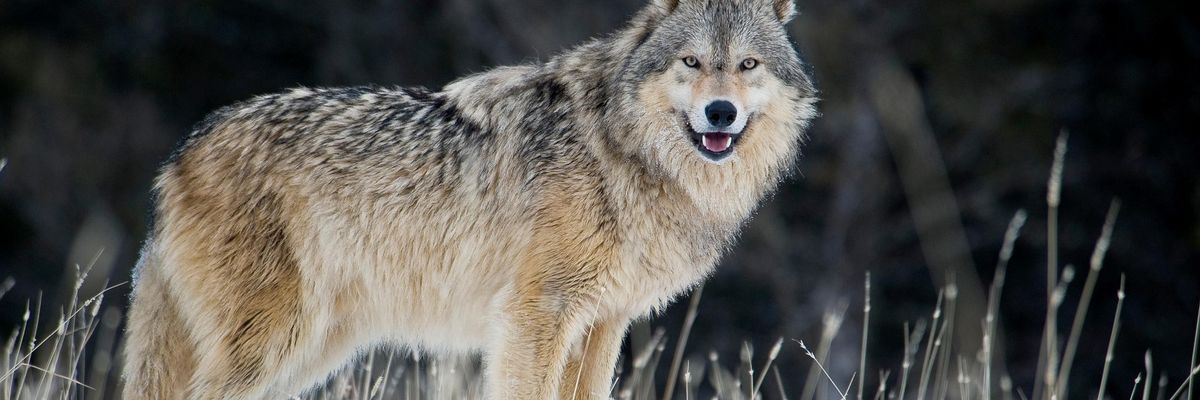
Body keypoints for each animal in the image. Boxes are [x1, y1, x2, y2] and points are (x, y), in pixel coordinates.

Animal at [121, 0, 816, 398]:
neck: (621, 151)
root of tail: (178, 156)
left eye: (748, 65)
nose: (720, 112)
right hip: (272, 344)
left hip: (307, 351)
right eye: (691, 62)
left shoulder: (602, 324)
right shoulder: (537, 316)